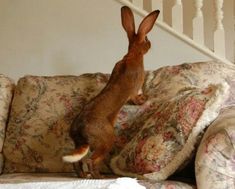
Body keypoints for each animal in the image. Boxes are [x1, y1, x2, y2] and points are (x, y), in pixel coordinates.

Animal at [62, 5, 160, 179]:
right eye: (146, 39)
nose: (150, 44)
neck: (133, 54)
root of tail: (80, 132)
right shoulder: (135, 89)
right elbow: (135, 97)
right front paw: (143, 99)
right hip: (106, 140)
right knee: (91, 160)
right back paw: (98, 177)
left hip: (82, 145)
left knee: (77, 162)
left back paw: (84, 176)